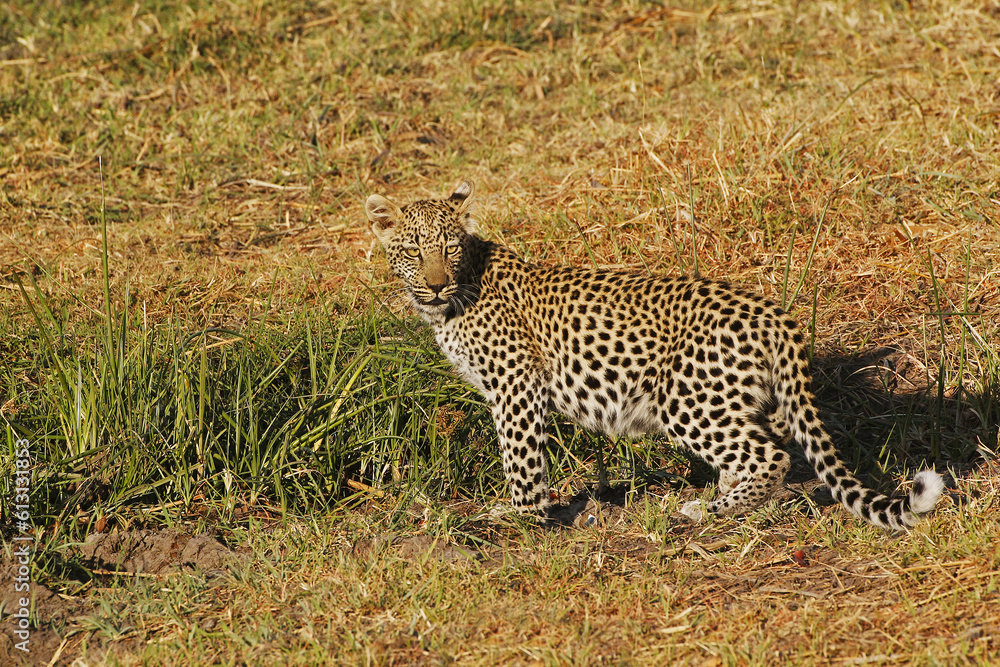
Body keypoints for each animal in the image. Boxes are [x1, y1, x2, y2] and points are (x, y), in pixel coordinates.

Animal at [365, 180, 944, 531]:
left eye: (449, 247)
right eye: (414, 251)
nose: (435, 285)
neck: (456, 295)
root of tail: (773, 314)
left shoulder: (516, 384)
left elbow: (520, 456)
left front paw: (519, 515)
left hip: (687, 399)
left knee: (768, 455)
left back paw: (709, 511)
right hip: (741, 397)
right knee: (766, 445)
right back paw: (719, 498)